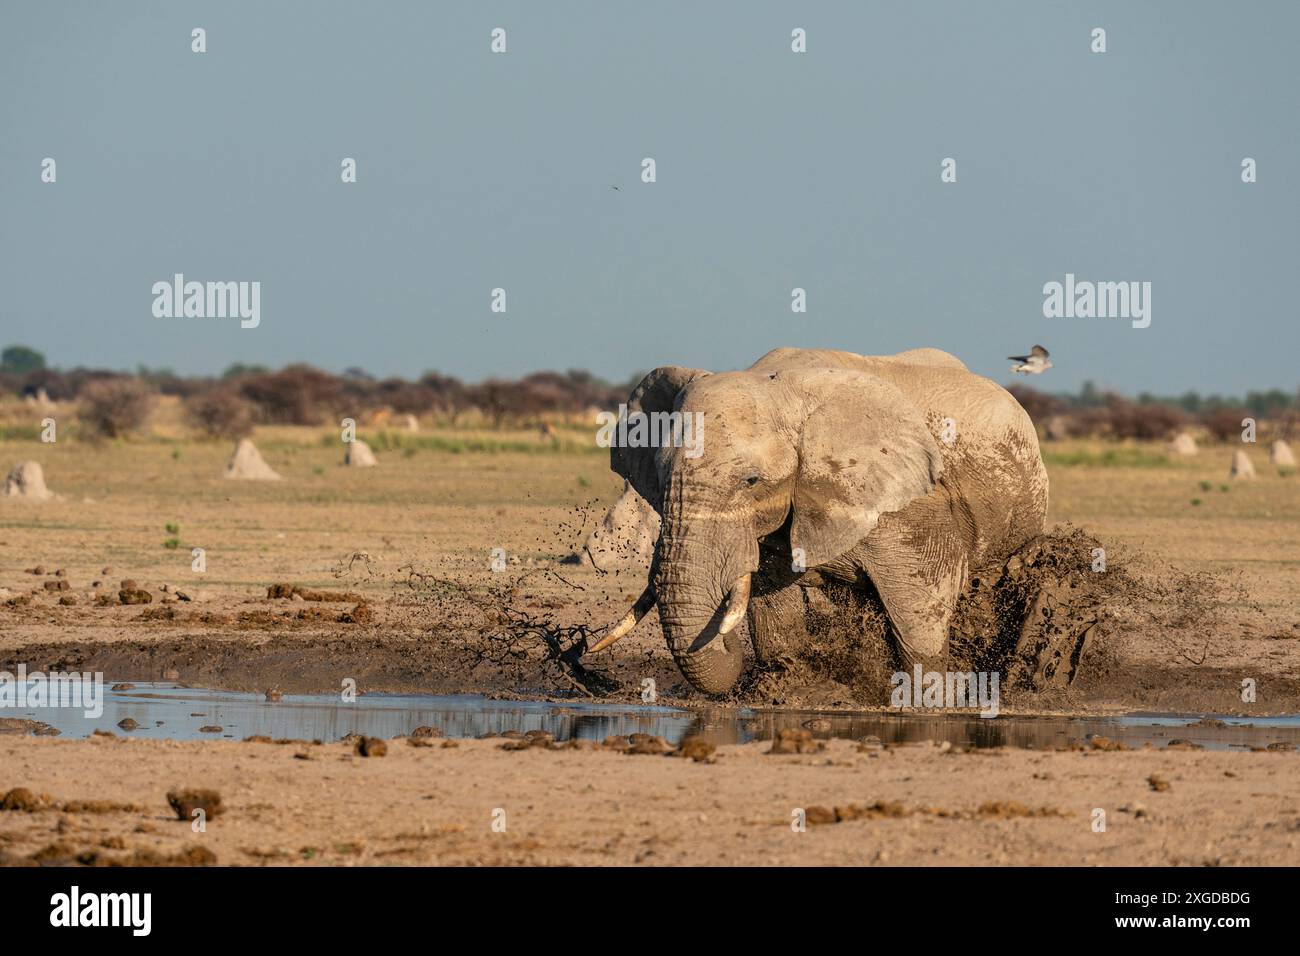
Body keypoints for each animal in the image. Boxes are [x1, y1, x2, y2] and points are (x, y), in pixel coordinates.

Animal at [585, 346, 1049, 696]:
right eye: (662, 479)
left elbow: (920, 608)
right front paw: (785, 682)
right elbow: (773, 609)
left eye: (751, 481)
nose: (581, 648)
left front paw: (930, 700)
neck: (779, 387)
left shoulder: (913, 505)